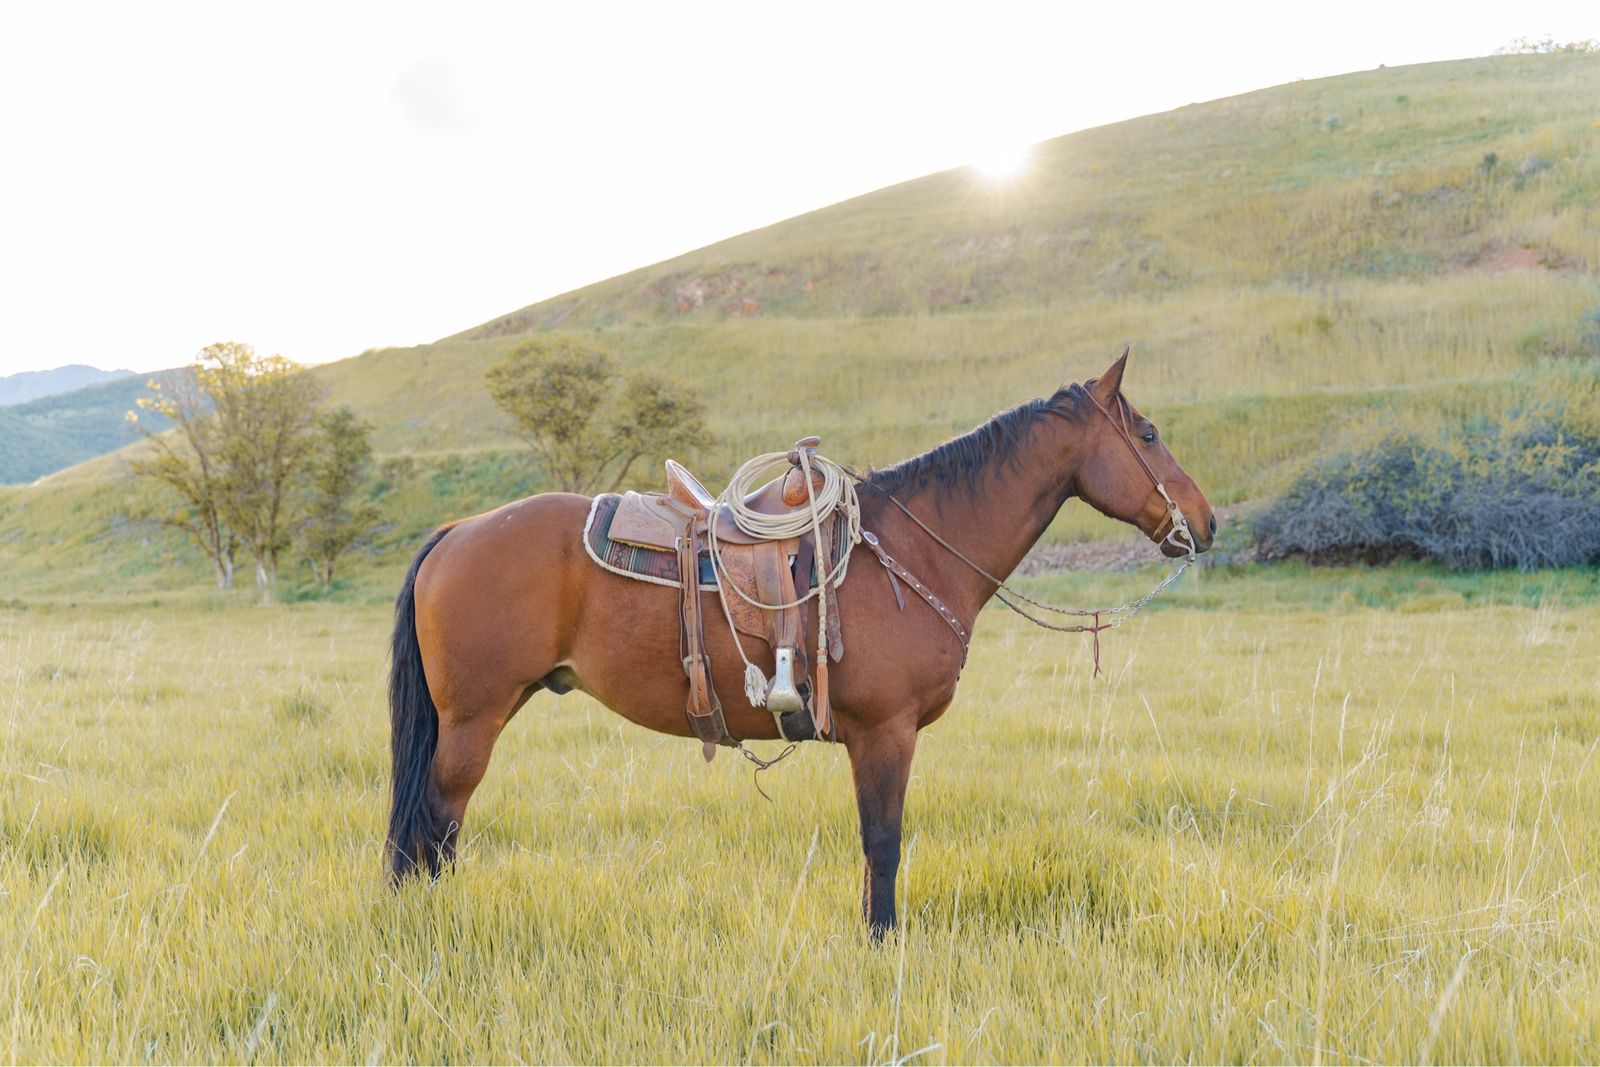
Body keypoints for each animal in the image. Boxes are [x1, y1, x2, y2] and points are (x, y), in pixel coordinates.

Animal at [386, 349, 1215, 937]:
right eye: (1147, 434)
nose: (1204, 522)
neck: (912, 548)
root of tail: (456, 531)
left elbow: (875, 844)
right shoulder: (886, 732)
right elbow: (883, 840)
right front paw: (883, 941)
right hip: (474, 718)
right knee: (437, 821)